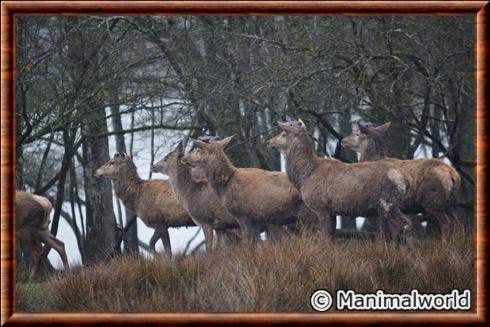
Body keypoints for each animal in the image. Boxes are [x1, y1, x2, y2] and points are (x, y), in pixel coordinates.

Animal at [182, 137, 316, 247]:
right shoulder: (255, 220)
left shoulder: (242, 215)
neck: (225, 186)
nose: (184, 158)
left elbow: (248, 245)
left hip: (306, 214)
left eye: (199, 150)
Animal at [266, 119, 412, 242]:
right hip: (390, 205)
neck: (305, 176)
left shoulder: (321, 207)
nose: (268, 142)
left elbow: (325, 238)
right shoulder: (332, 212)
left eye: (283, 133)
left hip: (387, 202)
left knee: (405, 225)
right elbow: (331, 238)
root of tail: (404, 178)